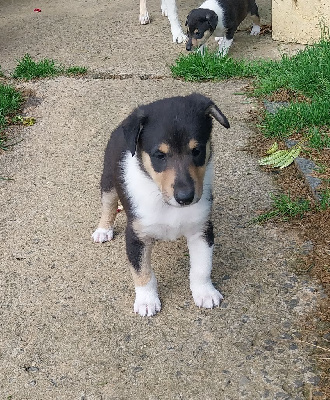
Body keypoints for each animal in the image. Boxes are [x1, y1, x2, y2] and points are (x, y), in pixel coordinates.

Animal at [91, 93, 229, 316]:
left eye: (197, 151)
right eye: (160, 155)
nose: (185, 197)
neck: (165, 202)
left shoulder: (202, 229)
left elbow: (202, 267)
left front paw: (205, 293)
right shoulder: (136, 236)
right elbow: (142, 271)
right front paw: (146, 301)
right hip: (108, 180)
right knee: (108, 205)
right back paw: (103, 230)